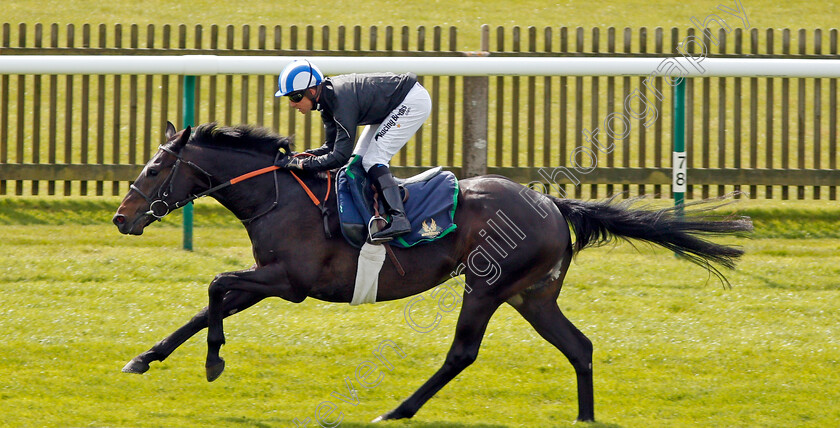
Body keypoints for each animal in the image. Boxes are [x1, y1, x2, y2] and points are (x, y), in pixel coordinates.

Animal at [113, 121, 756, 422]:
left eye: (153, 170)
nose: (122, 218)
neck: (281, 197)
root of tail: (551, 203)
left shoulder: (289, 284)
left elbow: (215, 288)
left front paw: (213, 362)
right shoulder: (268, 277)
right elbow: (206, 307)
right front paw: (145, 357)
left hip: (488, 284)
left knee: (462, 353)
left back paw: (397, 409)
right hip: (533, 295)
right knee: (580, 347)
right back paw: (585, 417)